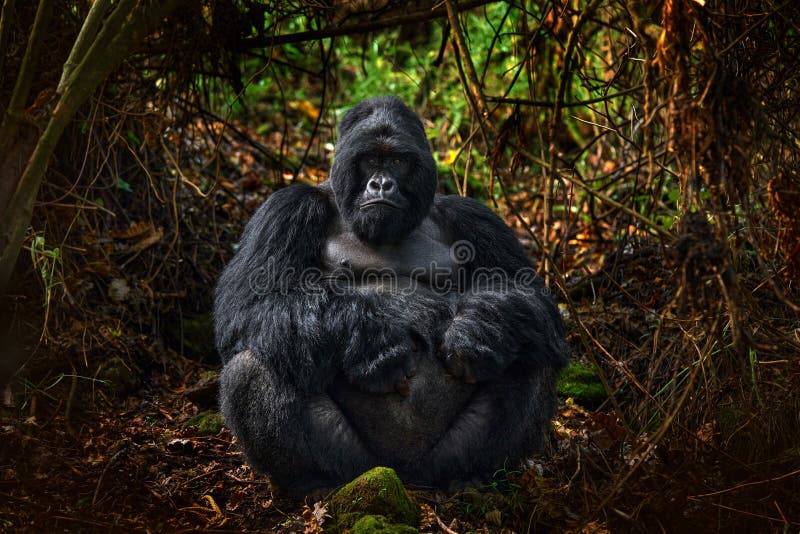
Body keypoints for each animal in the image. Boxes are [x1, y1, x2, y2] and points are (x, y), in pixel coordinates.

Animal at [212, 95, 568, 498]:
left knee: (528, 352)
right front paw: (369, 342)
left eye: (396, 161)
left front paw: (478, 331)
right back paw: (313, 480)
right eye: (370, 159)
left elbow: (531, 296)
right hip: (358, 464)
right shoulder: (287, 207)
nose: (381, 183)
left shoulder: (472, 214)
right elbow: (251, 302)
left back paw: (474, 473)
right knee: (258, 360)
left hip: (438, 460)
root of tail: (405, 474)